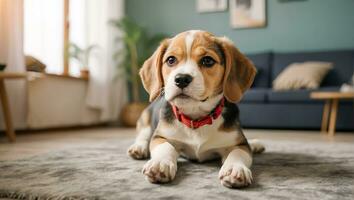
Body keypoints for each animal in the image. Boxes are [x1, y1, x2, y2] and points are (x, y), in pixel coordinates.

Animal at [126, 30, 262, 188]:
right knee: (143, 135)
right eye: (171, 60)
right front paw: (160, 164)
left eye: (207, 60)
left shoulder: (239, 144)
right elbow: (166, 147)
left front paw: (235, 168)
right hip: (145, 120)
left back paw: (255, 144)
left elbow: (238, 153)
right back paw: (139, 148)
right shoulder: (160, 137)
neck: (196, 118)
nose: (181, 79)